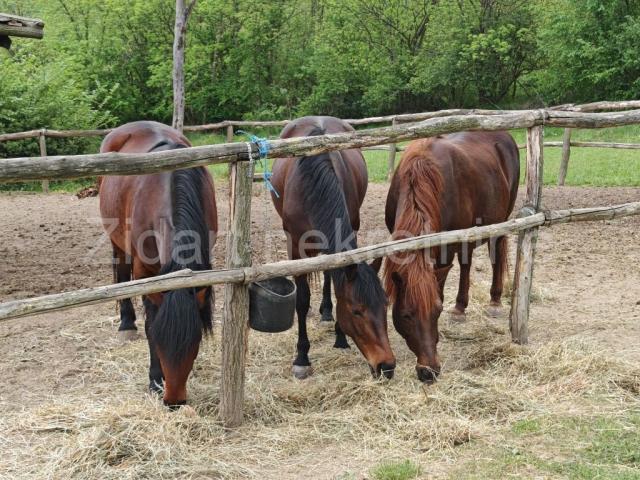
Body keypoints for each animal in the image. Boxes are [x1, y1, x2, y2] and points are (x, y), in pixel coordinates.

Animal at [98, 122, 218, 406]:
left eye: (195, 343)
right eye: (162, 345)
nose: (174, 401)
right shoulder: (146, 272)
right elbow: (150, 323)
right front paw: (154, 379)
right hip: (117, 240)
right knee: (121, 273)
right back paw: (126, 324)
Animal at [274, 115, 398, 378]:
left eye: (385, 305)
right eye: (356, 311)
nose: (386, 366)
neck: (312, 183)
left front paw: (340, 337)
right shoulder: (295, 246)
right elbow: (302, 300)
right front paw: (302, 357)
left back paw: (327, 311)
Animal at [380, 131, 520, 382]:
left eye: (436, 312)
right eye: (406, 315)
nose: (429, 372)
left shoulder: (444, 250)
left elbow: (440, 290)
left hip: (499, 222)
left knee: (495, 253)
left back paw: (494, 301)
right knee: (466, 262)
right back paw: (460, 307)